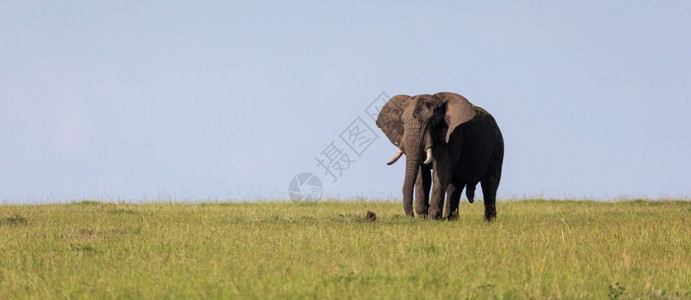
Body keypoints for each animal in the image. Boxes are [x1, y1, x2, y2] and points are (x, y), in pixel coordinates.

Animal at [376, 91, 506, 220]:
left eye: (433, 122)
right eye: (402, 123)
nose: (411, 216)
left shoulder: (453, 136)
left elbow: (441, 171)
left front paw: (432, 218)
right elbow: (422, 174)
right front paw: (423, 215)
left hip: (497, 146)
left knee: (490, 184)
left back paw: (489, 220)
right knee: (455, 185)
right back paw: (450, 219)